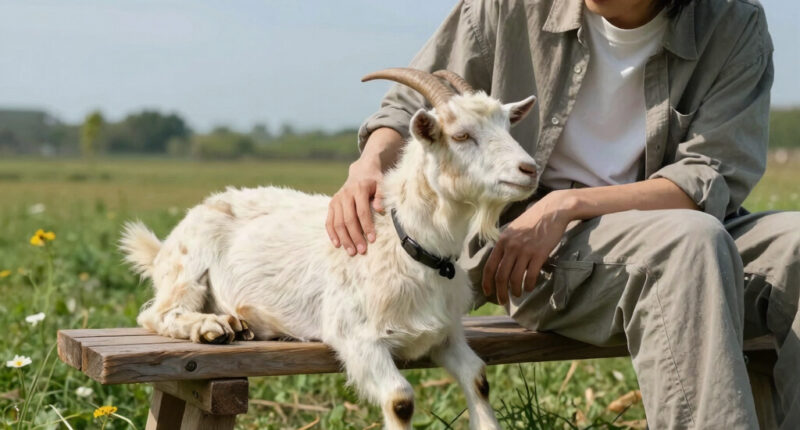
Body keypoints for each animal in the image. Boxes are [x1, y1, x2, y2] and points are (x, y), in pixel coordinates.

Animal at [120, 68, 538, 430]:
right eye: (461, 135)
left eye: (506, 125)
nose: (529, 169)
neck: (406, 243)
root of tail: (161, 249)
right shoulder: (356, 337)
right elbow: (400, 399)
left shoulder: (446, 333)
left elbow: (479, 377)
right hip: (188, 267)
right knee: (156, 313)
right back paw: (211, 327)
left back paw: (238, 323)